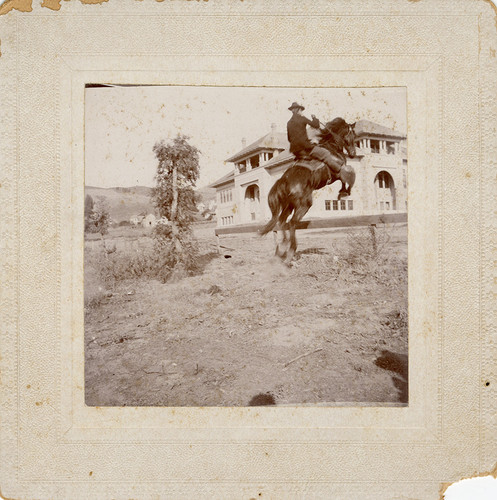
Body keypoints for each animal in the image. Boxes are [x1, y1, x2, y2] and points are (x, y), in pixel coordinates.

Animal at [260, 118, 356, 264]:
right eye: (352, 135)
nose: (353, 154)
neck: (332, 147)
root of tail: (283, 181)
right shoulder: (338, 171)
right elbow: (347, 176)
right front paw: (344, 193)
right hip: (304, 205)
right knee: (292, 223)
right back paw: (290, 250)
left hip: (289, 206)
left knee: (282, 222)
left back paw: (282, 247)